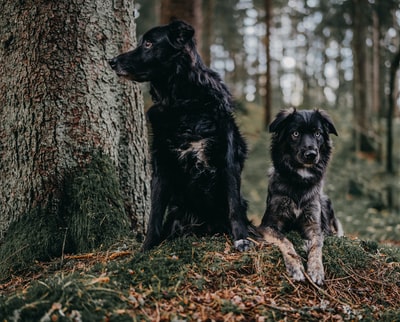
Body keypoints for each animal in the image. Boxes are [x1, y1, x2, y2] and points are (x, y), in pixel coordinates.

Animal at [108, 19, 252, 252]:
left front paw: (241, 239)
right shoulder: (161, 164)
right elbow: (155, 213)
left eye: (148, 43)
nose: (111, 61)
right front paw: (146, 247)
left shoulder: (227, 159)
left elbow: (233, 207)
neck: (183, 103)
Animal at [260, 108, 344, 284]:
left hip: (325, 200)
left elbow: (317, 246)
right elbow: (285, 241)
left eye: (318, 133)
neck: (300, 181)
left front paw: (316, 269)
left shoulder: (314, 226)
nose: (311, 154)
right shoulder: (268, 225)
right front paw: (296, 267)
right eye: (295, 133)